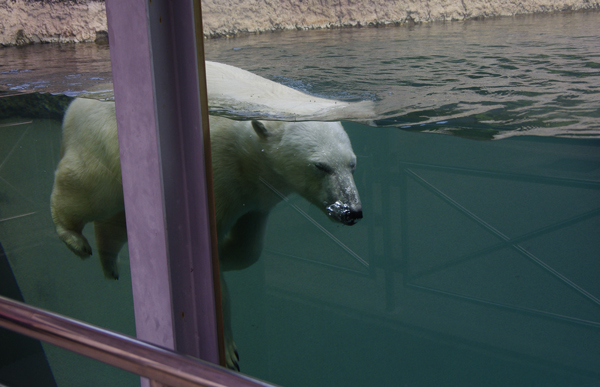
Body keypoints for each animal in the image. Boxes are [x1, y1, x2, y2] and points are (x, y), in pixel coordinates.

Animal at [50, 97, 360, 370]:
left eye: (352, 163)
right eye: (320, 166)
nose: (352, 211)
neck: (246, 153)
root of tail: (73, 104)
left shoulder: (255, 195)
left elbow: (249, 246)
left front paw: (226, 255)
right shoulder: (219, 177)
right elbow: (205, 267)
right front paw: (228, 351)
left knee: (118, 218)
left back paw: (109, 263)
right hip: (99, 140)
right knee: (87, 187)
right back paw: (74, 237)